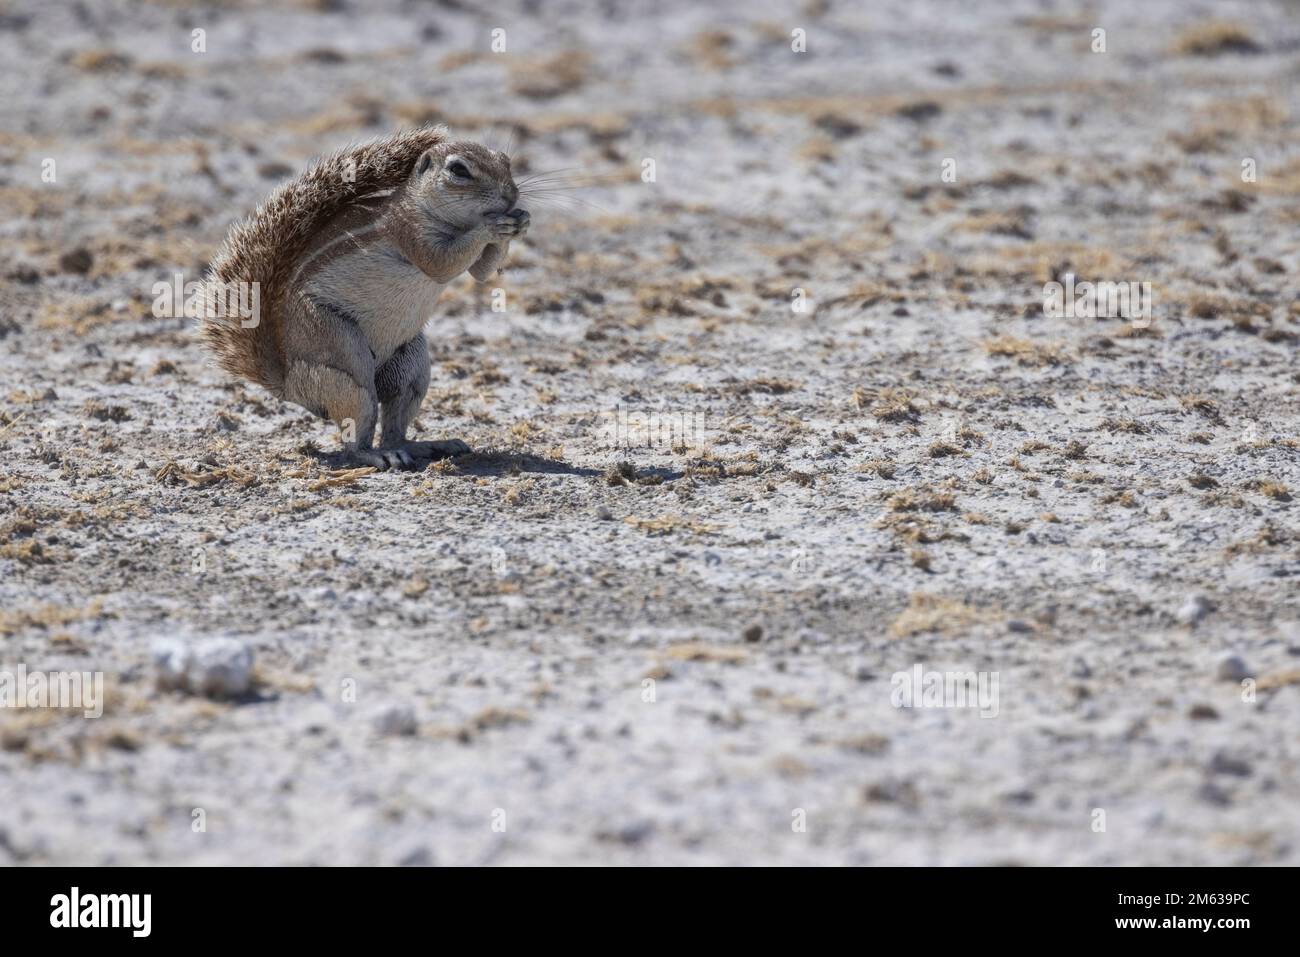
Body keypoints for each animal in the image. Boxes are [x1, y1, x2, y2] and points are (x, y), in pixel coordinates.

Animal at [202, 126, 529, 469]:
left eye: (506, 161)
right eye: (459, 170)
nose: (511, 196)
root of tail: (289, 384)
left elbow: (481, 272)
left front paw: (520, 221)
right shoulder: (408, 232)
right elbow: (441, 263)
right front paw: (492, 225)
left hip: (412, 367)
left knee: (397, 419)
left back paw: (424, 445)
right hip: (343, 363)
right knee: (356, 434)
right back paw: (378, 454)